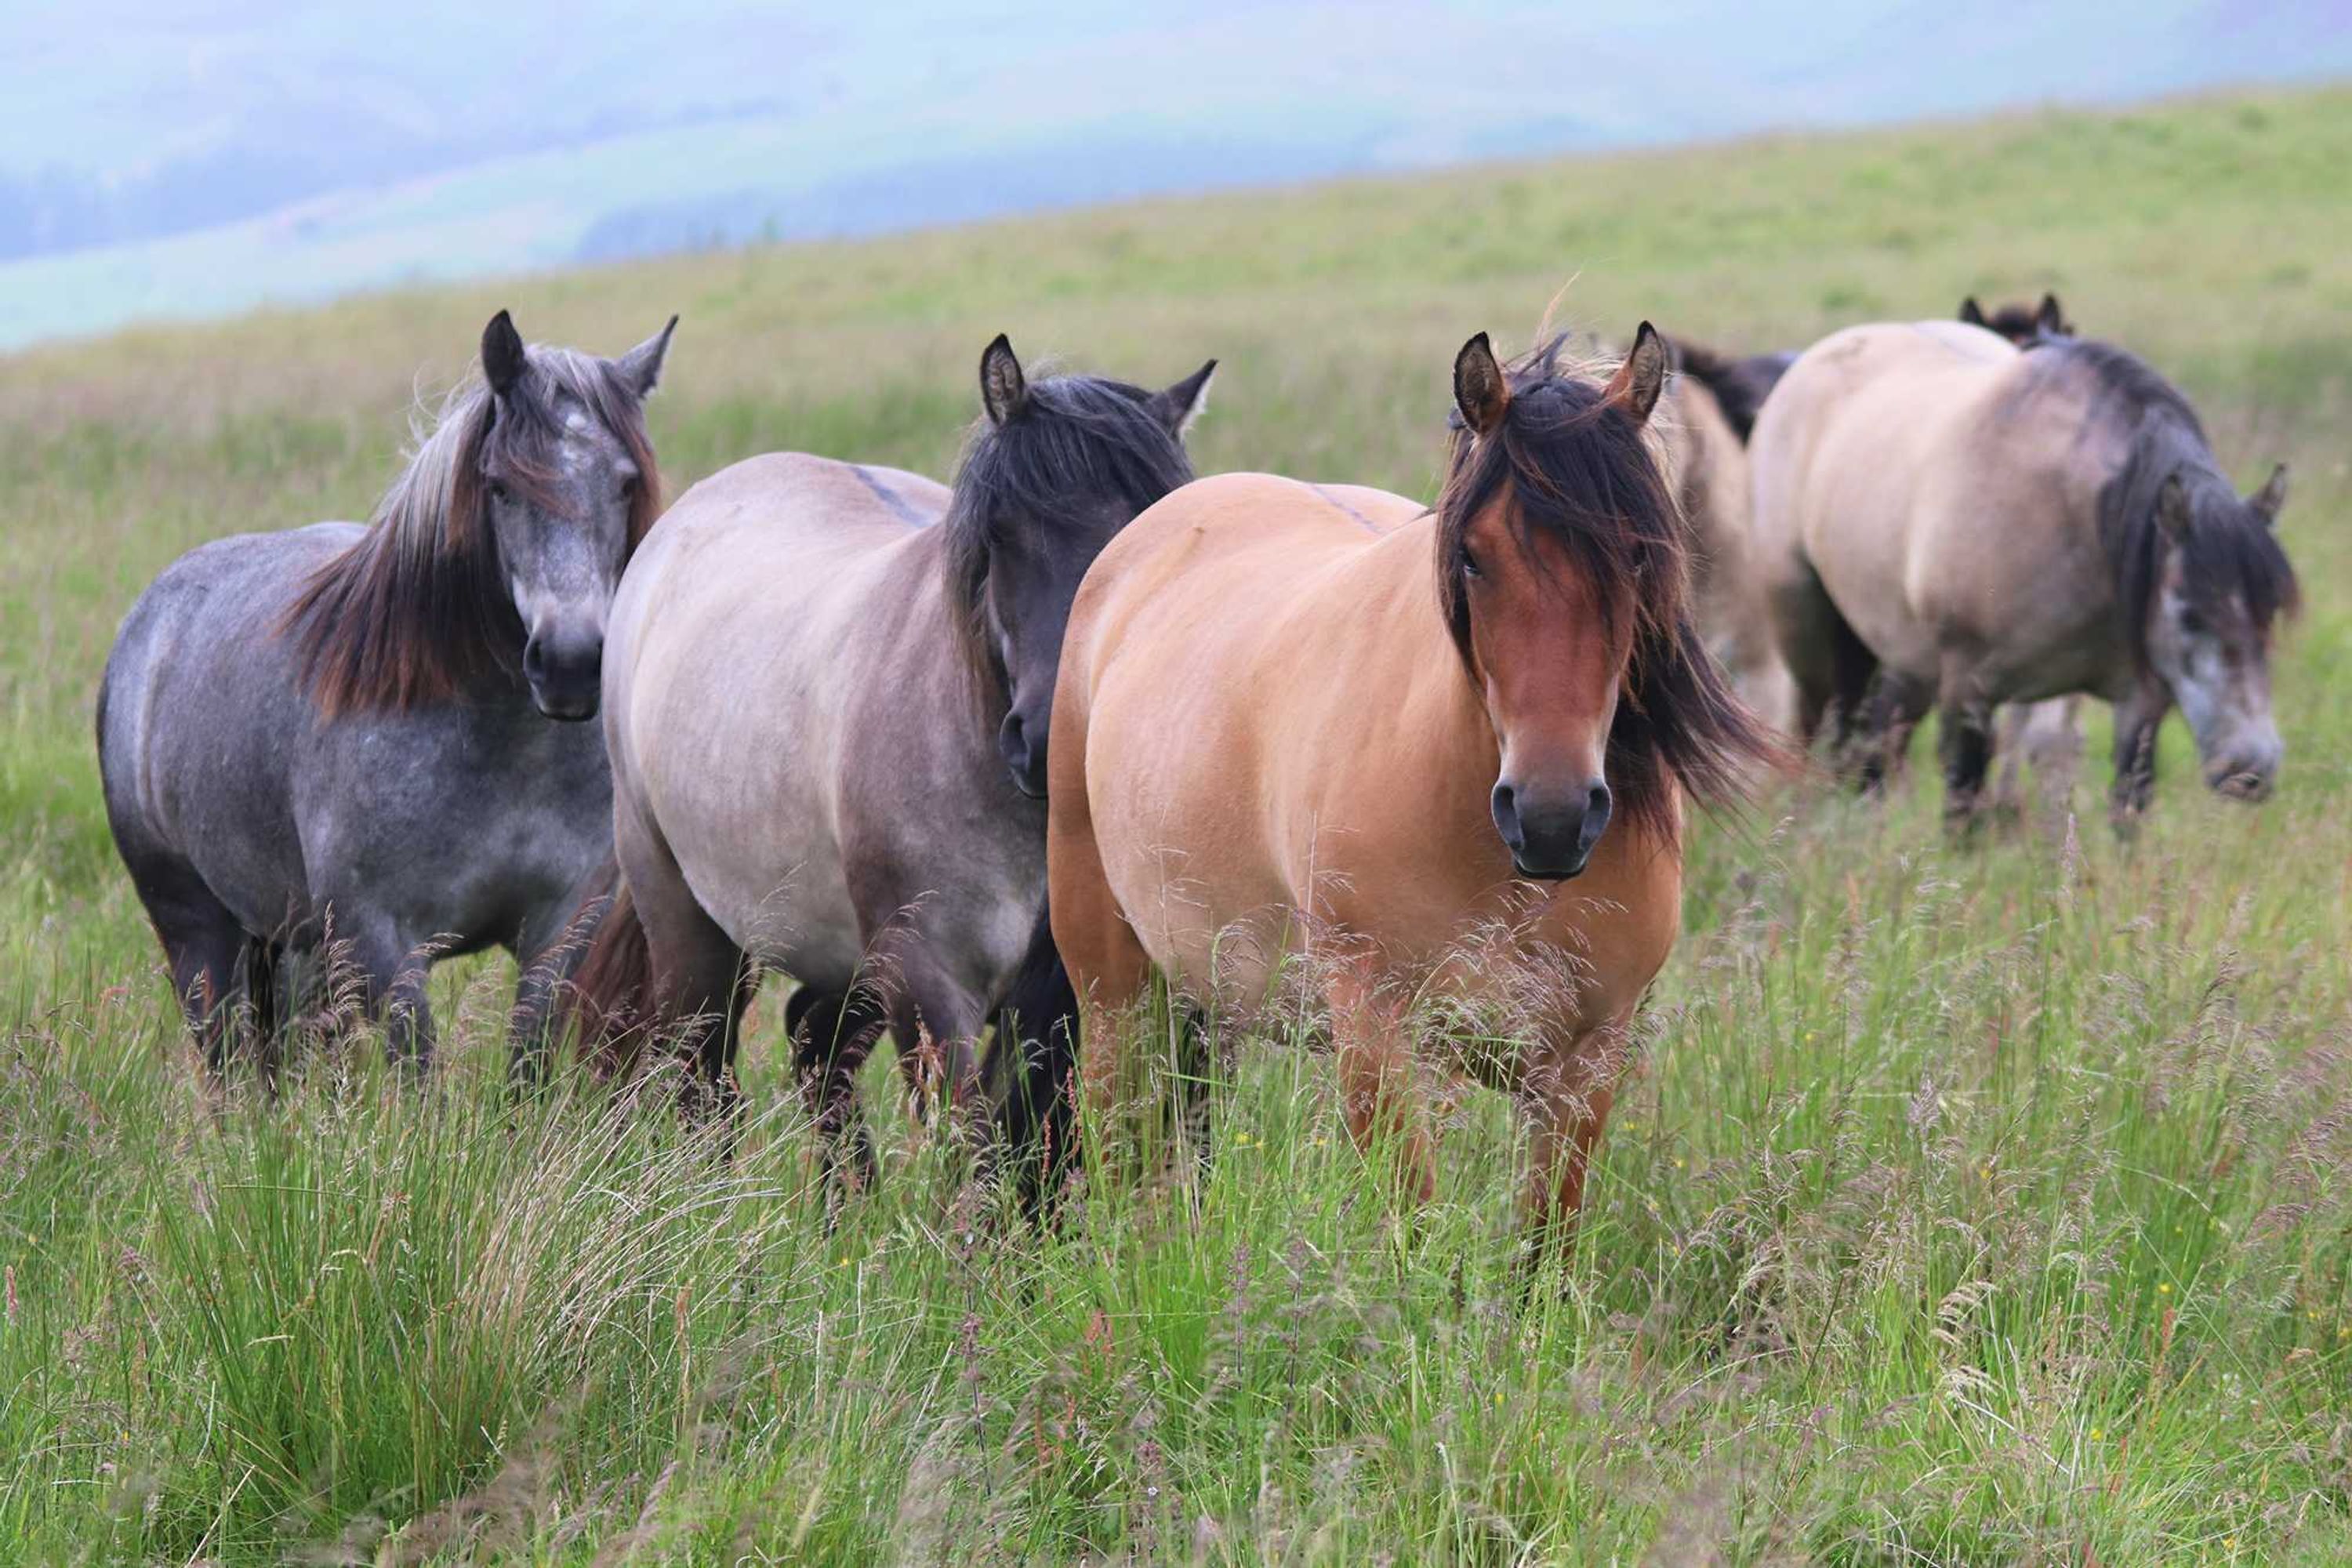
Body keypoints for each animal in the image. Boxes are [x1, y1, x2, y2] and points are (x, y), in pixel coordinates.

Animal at [98, 309, 676, 1072]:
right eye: (499, 486)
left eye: (624, 483)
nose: (570, 663)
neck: (506, 752)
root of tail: (150, 619)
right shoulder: (382, 945)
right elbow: (419, 1072)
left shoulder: (560, 932)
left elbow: (526, 1069)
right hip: (198, 935)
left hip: (299, 951)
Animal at [562, 335, 1213, 1187]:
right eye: (1001, 534)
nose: (1048, 742)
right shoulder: (930, 983)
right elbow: (969, 1158)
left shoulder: (1084, 992)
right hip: (687, 922)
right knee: (701, 1068)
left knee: (814, 1046)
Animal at [1046, 326, 1771, 1261]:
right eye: (1471, 555)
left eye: (1640, 553)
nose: (1551, 818)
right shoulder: (1379, 1039)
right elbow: (1418, 1244)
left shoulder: (1586, 1061)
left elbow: (1544, 1248)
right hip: (1115, 989)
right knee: (1116, 1145)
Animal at [1749, 320, 2296, 828]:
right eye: (2188, 615)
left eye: (2268, 616)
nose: (2252, 770)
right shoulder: (1969, 692)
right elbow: (1964, 803)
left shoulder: (2138, 705)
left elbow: (2127, 806)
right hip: (1810, 635)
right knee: (1818, 729)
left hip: (1906, 656)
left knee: (1874, 743)